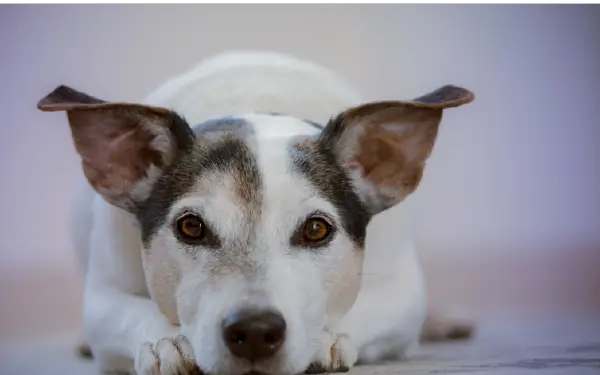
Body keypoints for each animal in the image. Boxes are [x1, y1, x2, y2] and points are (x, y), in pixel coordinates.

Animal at [38, 50, 478, 375]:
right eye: (191, 226)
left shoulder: (401, 292)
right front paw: (167, 341)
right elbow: (129, 312)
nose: (253, 331)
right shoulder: (103, 296)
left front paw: (325, 337)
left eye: (316, 229)